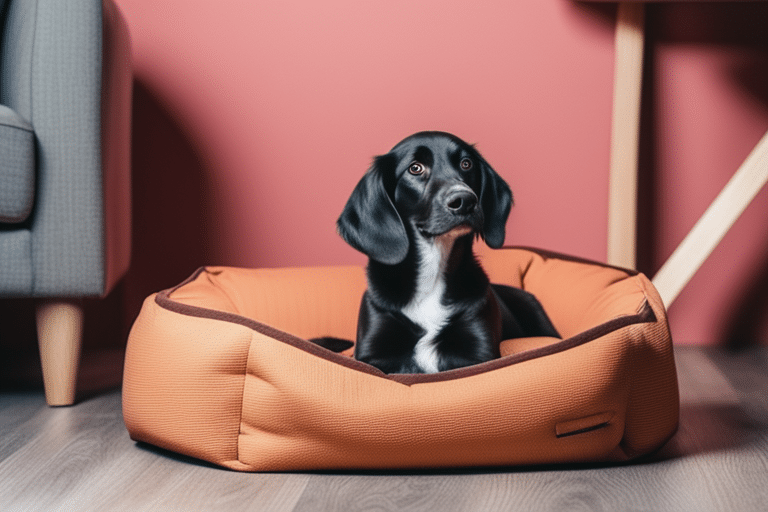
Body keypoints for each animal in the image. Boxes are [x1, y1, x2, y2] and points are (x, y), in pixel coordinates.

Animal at [316, 131, 560, 372]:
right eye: (415, 168)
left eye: (466, 164)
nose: (465, 200)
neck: (433, 272)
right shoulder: (373, 356)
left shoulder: (478, 355)